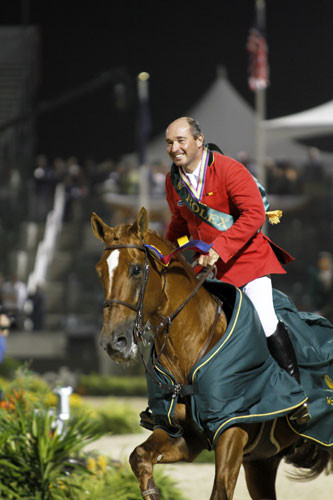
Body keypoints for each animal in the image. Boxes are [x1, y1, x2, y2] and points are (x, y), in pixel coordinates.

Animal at [91, 205, 332, 498]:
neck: (186, 351)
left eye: (136, 269)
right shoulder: (184, 436)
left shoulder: (232, 430)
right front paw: (152, 490)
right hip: (262, 462)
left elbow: (219, 490)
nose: (114, 342)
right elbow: (139, 456)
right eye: (100, 272)